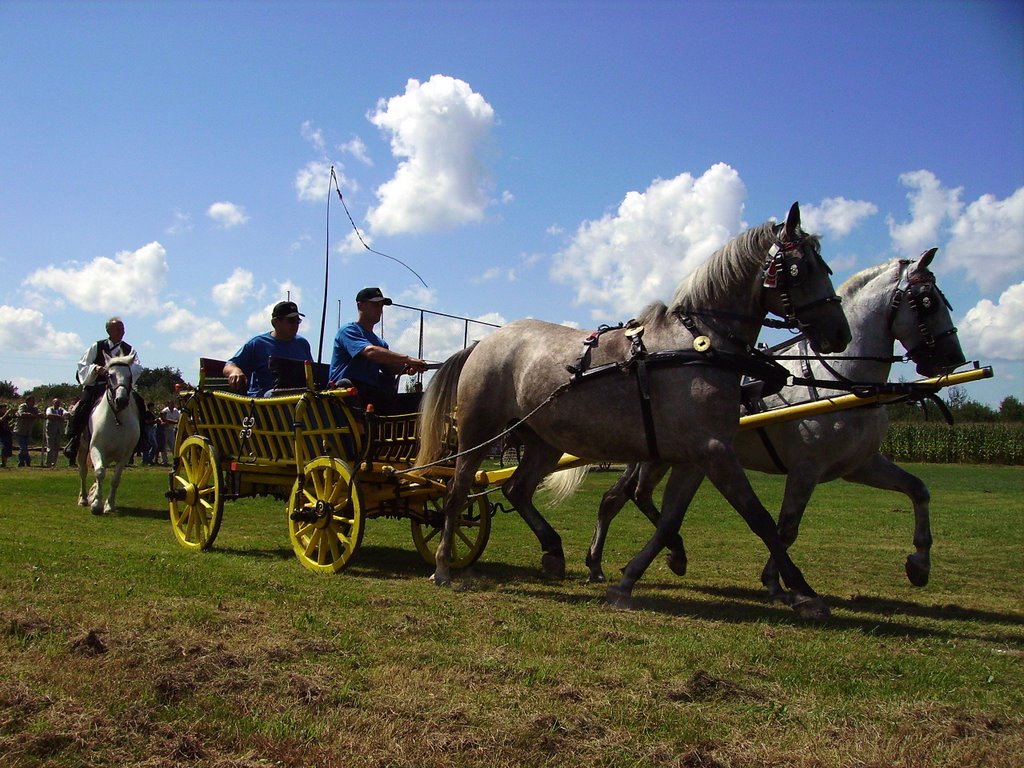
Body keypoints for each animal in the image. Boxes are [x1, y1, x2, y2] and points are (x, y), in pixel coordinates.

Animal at [76, 354, 142, 518]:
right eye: (110, 375)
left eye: (130, 376)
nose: (121, 400)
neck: (116, 418)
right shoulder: (96, 448)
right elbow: (99, 473)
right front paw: (96, 505)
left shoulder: (126, 454)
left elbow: (115, 479)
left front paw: (109, 505)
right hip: (83, 447)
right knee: (83, 471)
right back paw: (83, 498)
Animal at [419, 202, 851, 618]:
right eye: (803, 268)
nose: (840, 333)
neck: (700, 345)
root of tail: (484, 342)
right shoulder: (715, 452)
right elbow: (758, 517)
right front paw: (805, 592)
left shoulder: (695, 458)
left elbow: (671, 520)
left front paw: (630, 580)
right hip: (478, 432)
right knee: (457, 491)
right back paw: (443, 566)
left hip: (543, 442)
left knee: (517, 489)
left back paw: (553, 551)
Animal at [589, 249, 962, 598]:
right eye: (927, 302)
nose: (954, 357)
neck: (839, 378)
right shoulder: (806, 468)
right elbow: (786, 528)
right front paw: (778, 581)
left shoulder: (860, 465)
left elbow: (918, 489)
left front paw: (919, 564)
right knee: (629, 496)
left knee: (623, 497)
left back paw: (620, 560)